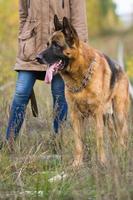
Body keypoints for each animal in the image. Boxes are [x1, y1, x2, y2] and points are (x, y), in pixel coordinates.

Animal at [36, 15, 129, 166]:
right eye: (47, 44)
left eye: (56, 45)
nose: (37, 58)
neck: (80, 76)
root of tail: (122, 69)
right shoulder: (76, 115)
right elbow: (78, 142)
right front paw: (77, 164)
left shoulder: (97, 114)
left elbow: (99, 139)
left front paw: (101, 161)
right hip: (107, 117)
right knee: (113, 136)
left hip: (119, 115)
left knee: (121, 138)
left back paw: (122, 156)